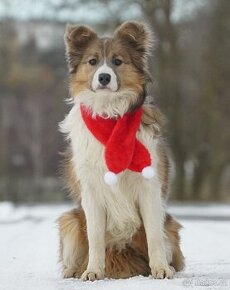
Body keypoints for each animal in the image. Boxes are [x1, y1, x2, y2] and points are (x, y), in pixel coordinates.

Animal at [58, 21, 185, 280]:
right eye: (93, 61)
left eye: (117, 61)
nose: (104, 77)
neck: (110, 114)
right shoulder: (91, 191)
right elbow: (95, 237)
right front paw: (93, 271)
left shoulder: (149, 188)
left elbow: (154, 236)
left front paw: (160, 269)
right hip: (71, 221)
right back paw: (74, 270)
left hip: (170, 227)